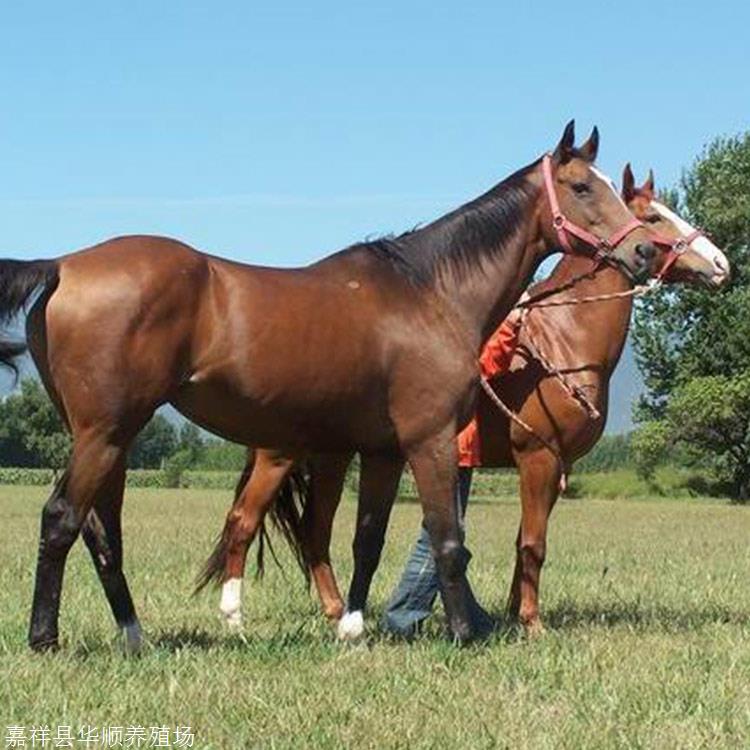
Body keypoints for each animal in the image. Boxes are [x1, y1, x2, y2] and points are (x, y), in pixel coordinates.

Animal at [4, 122, 664, 652]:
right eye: (583, 187)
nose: (641, 251)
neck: (430, 291)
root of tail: (63, 265)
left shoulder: (382, 450)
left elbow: (367, 538)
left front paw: (351, 626)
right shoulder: (430, 441)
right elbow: (448, 540)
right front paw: (464, 634)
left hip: (110, 438)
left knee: (102, 531)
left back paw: (134, 635)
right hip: (107, 433)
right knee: (62, 519)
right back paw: (46, 639)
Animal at [203, 164, 732, 640]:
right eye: (656, 217)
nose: (721, 264)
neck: (566, 342)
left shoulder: (545, 463)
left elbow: (522, 540)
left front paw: (512, 613)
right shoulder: (536, 457)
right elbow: (533, 543)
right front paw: (530, 622)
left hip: (333, 457)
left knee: (315, 532)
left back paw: (339, 612)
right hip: (282, 455)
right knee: (245, 522)